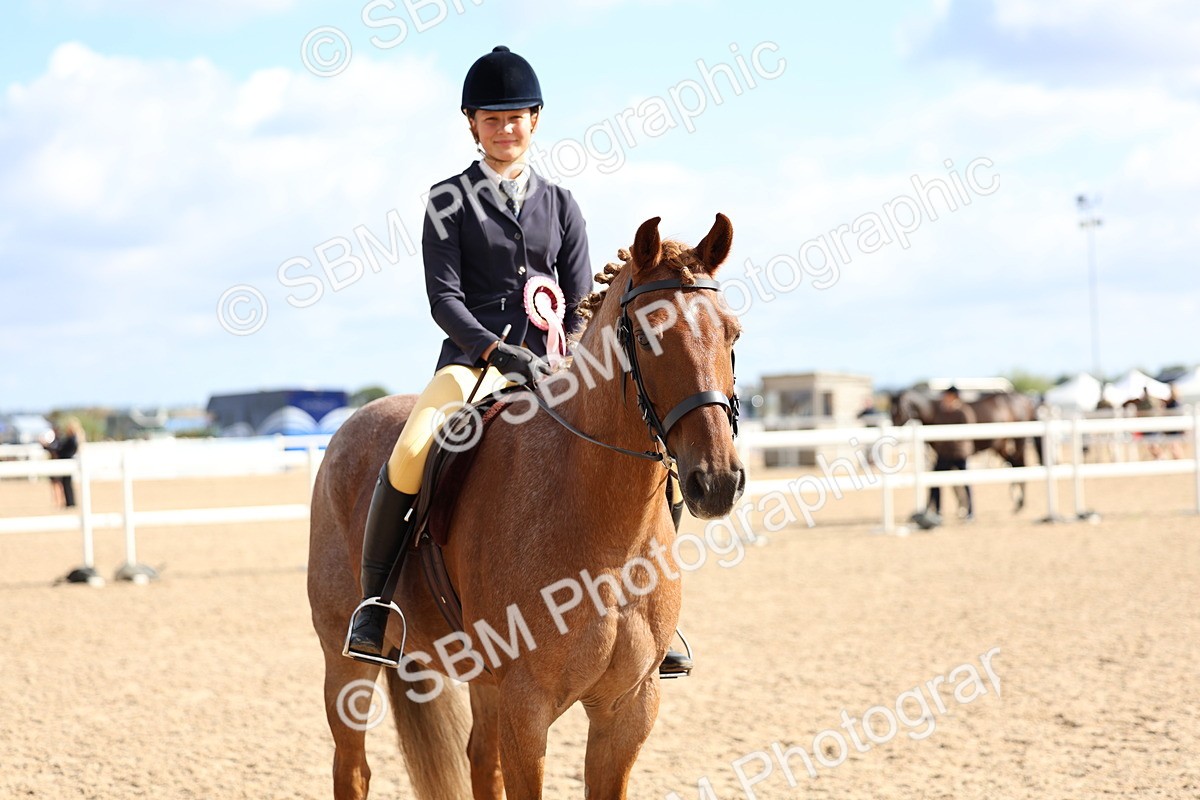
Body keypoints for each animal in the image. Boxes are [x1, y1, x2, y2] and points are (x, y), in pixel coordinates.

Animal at [307, 213, 745, 799]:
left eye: (732, 332)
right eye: (647, 335)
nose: (718, 481)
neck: (610, 535)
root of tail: (353, 421)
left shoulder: (628, 709)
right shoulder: (528, 707)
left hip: (482, 676)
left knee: (478, 761)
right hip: (345, 659)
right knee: (352, 767)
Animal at [890, 388, 1042, 512]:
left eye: (898, 410)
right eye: (891, 410)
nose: (894, 432)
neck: (936, 413)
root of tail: (1027, 401)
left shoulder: (945, 455)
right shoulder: (945, 456)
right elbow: (952, 482)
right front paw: (960, 508)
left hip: (1019, 440)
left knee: (1020, 464)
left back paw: (1020, 501)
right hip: (1001, 445)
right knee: (1014, 464)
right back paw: (1018, 501)